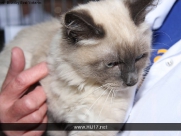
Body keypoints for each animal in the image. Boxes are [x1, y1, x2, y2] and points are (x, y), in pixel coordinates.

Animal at [0, 0, 156, 135]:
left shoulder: (92, 124)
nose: (132, 81)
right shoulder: (53, 120)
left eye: (139, 58)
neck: (80, 82)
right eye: (112, 64)